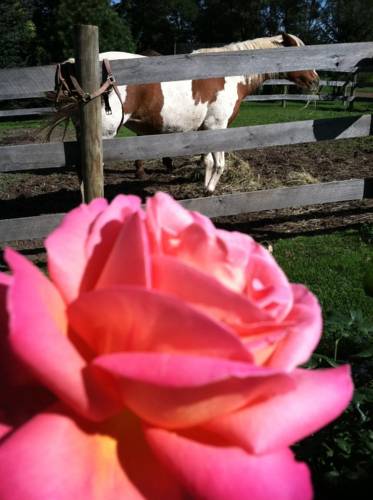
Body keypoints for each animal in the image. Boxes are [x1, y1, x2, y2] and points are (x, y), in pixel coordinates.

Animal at [50, 33, 316, 192]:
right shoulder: (218, 127)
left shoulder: (205, 129)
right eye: (298, 52)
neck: (229, 74)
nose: (315, 80)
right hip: (103, 135)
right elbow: (219, 163)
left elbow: (207, 161)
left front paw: (205, 184)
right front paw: (210, 190)